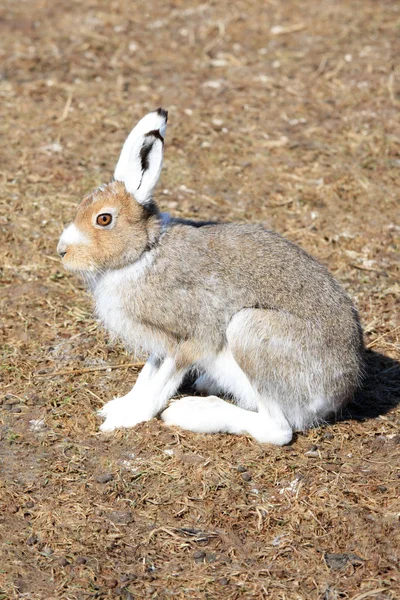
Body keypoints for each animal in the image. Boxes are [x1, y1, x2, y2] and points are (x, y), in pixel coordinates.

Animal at [57, 108, 366, 446]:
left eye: (104, 219)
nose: (62, 251)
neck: (145, 252)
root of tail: (338, 393)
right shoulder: (162, 342)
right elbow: (147, 375)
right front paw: (120, 405)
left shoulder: (193, 336)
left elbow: (162, 382)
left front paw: (126, 418)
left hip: (250, 331)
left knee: (278, 428)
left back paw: (192, 412)